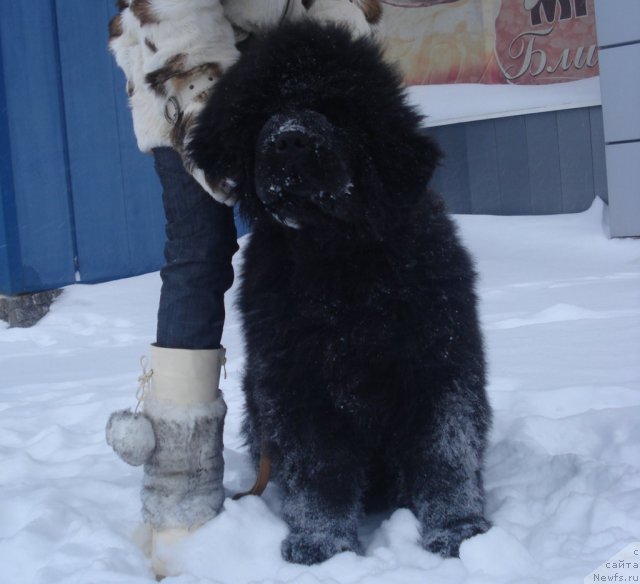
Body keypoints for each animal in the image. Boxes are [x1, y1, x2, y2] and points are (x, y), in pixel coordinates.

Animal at [188, 20, 492, 564]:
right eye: (264, 111)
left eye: (337, 111)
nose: (288, 141)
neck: (338, 265)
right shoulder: (297, 383)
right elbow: (319, 470)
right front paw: (322, 543)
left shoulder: (439, 364)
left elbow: (445, 452)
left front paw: (459, 531)